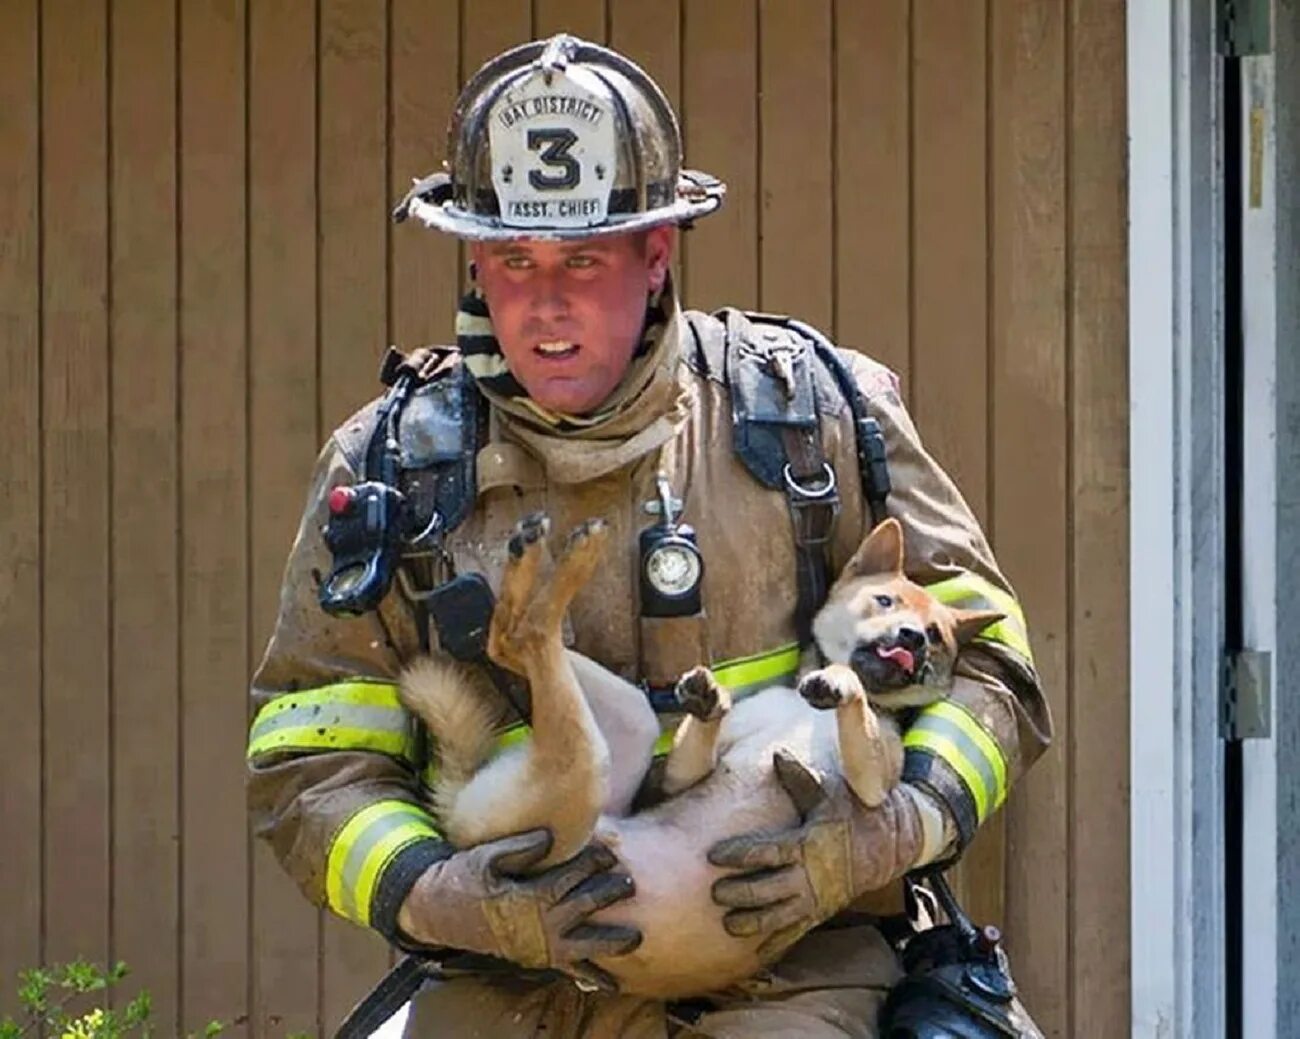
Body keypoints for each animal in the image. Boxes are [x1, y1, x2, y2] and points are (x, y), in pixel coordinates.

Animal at [400, 514, 998, 993]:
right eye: (885, 600)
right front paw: (709, 705)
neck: (809, 710)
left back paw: (554, 558)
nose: (912, 639)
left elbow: (856, 722)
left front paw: (838, 683)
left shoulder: (872, 785)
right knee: (514, 639)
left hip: (582, 774)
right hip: (606, 748)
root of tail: (460, 821)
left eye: (938, 635)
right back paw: (544, 559)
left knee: (520, 638)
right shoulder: (685, 773)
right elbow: (699, 752)